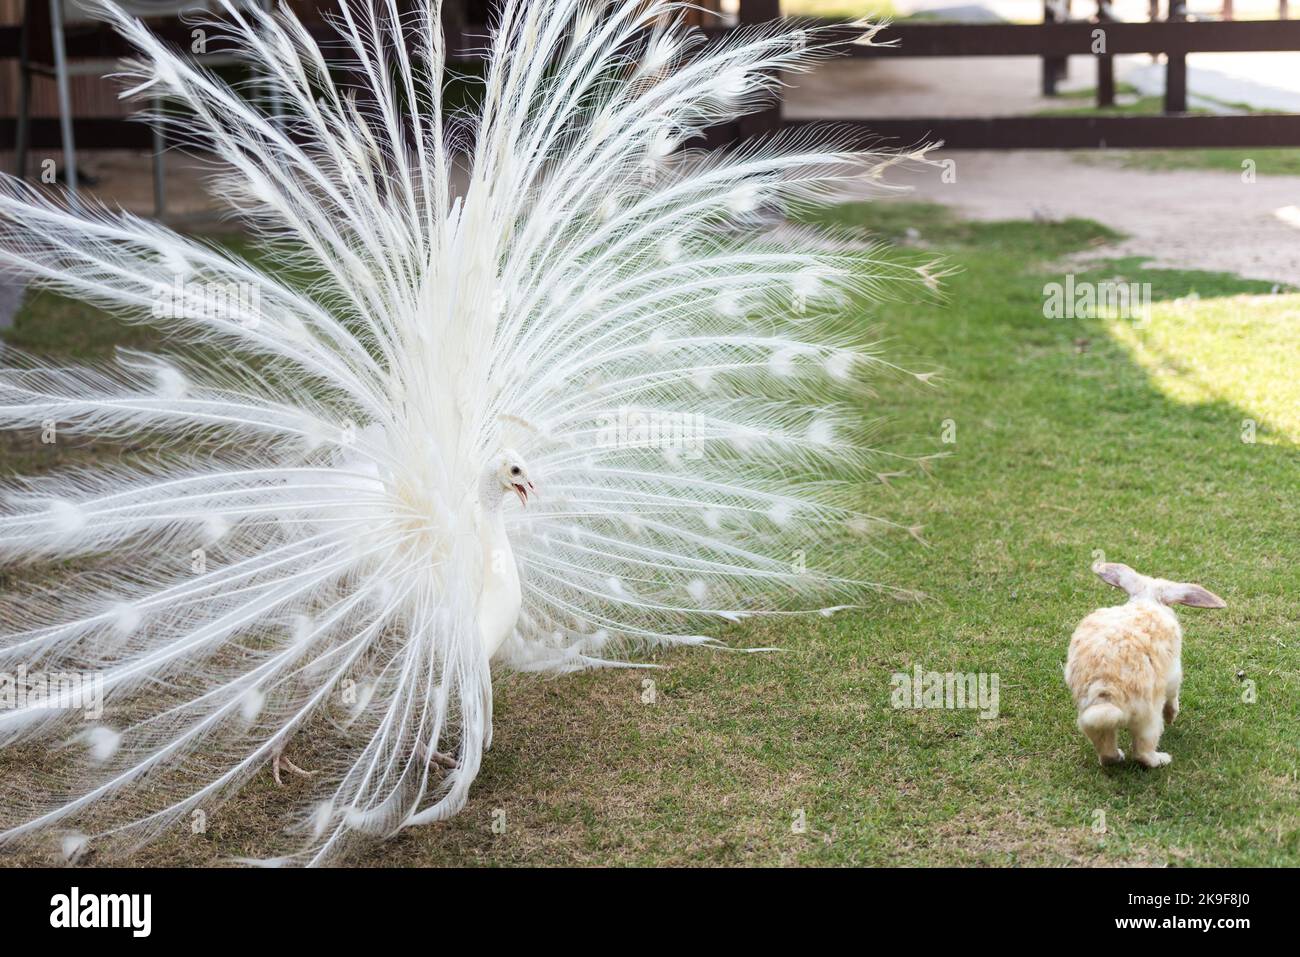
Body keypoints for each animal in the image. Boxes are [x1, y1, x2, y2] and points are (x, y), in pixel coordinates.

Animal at [1066, 562, 1226, 768]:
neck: (1147, 601)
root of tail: (1106, 689)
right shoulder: (1174, 674)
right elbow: (1173, 696)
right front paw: (1172, 716)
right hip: (1149, 717)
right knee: (1142, 753)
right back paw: (1162, 759)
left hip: (1090, 718)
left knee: (1106, 751)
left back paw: (1117, 756)